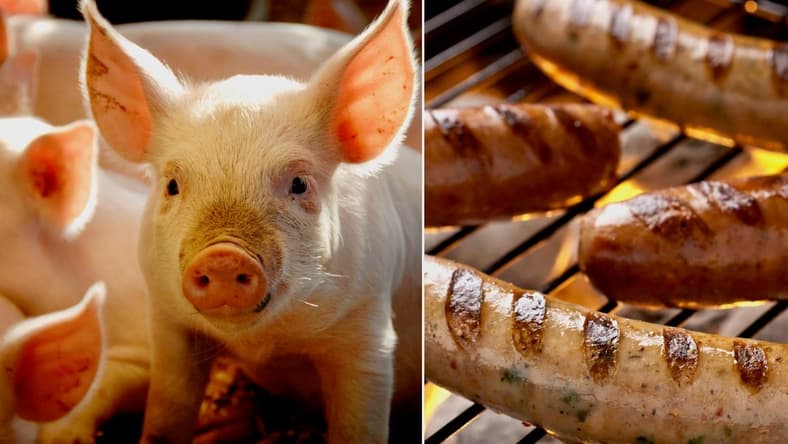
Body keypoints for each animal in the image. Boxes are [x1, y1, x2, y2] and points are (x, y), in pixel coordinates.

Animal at [80, 0, 421, 441]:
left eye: (299, 183)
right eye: (172, 184)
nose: (224, 255)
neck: (263, 344)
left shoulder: (368, 329)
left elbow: (358, 423)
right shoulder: (168, 321)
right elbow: (168, 408)